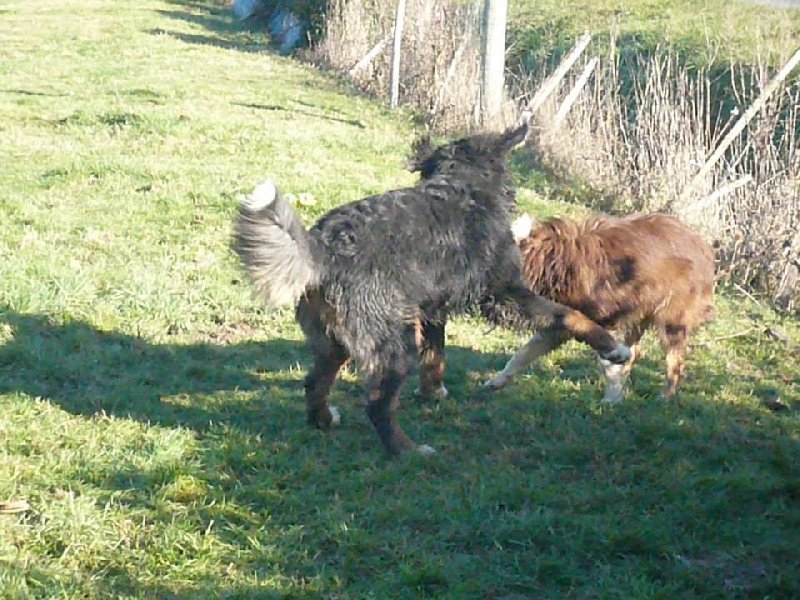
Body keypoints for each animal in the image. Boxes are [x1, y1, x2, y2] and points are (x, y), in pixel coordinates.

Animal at [232, 119, 630, 456]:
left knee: (315, 383)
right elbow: (569, 315)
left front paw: (432, 391)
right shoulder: (505, 293)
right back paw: (408, 451)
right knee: (377, 403)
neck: (463, 185)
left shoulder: (432, 307)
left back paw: (325, 420)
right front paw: (613, 348)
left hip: (335, 341)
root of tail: (323, 246)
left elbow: (436, 354)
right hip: (393, 343)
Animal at [485, 212, 715, 402]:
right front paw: (496, 382)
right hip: (639, 313)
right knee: (635, 351)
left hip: (671, 320)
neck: (551, 261)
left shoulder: (603, 320)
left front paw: (610, 399)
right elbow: (523, 353)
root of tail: (704, 246)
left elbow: (607, 360)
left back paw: (664, 398)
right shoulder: (561, 324)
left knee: (675, 362)